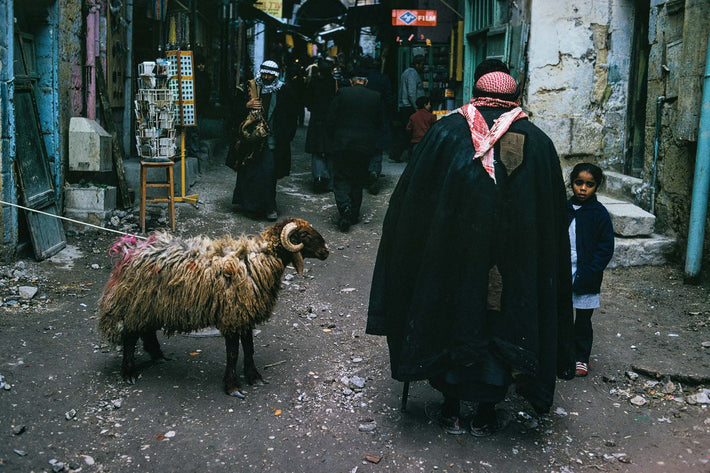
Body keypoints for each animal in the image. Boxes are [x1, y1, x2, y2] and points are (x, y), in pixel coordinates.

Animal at [98, 219, 330, 396]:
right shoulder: (232, 316)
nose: (327, 252)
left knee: (145, 330)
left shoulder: (243, 315)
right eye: (305, 236)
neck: (259, 259)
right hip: (137, 300)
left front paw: (254, 377)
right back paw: (129, 373)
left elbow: (249, 348)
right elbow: (233, 353)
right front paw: (233, 387)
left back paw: (159, 356)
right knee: (130, 335)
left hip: (150, 303)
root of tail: (129, 250)